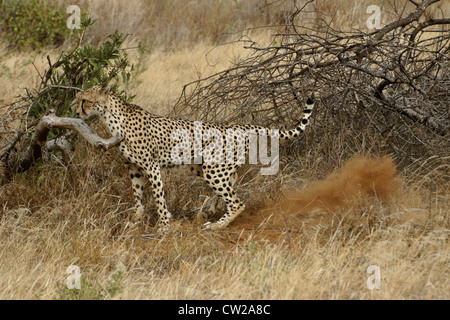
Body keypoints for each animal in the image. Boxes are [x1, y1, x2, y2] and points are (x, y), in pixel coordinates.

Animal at [74, 85, 312, 232]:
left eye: (84, 101)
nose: (76, 113)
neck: (112, 119)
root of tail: (241, 125)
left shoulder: (151, 166)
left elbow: (159, 197)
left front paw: (163, 225)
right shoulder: (133, 168)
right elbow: (138, 196)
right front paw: (135, 220)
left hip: (213, 170)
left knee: (237, 202)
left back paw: (217, 225)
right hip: (209, 168)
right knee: (231, 191)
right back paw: (211, 211)